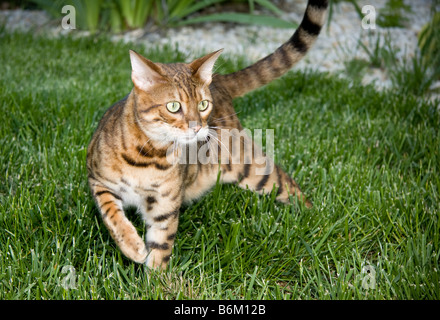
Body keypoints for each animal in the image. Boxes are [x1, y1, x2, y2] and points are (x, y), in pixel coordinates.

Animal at [87, 0, 326, 270]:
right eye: (173, 106)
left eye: (202, 105)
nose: (198, 127)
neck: (148, 157)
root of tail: (218, 81)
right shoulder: (97, 180)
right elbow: (111, 214)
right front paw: (132, 246)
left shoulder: (165, 207)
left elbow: (161, 247)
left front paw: (157, 277)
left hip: (251, 168)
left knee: (288, 184)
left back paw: (314, 217)